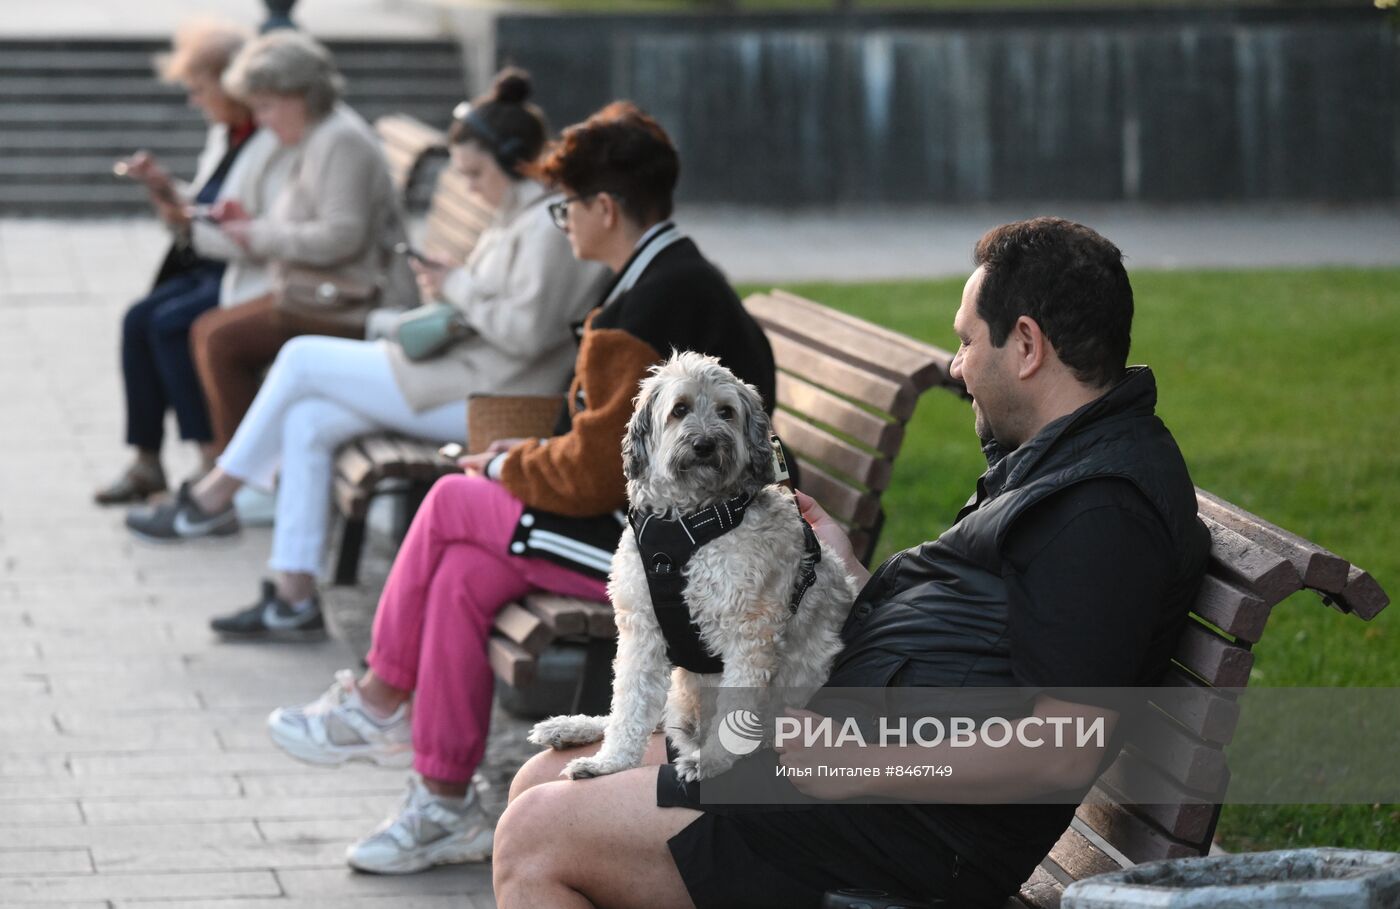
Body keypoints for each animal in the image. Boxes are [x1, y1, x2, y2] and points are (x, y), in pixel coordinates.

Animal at [529, 348, 856, 778]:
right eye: (680, 409)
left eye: (726, 412)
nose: (705, 444)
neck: (687, 522)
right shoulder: (641, 630)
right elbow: (629, 707)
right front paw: (611, 762)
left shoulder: (750, 635)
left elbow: (735, 711)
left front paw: (711, 761)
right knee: (645, 718)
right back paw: (572, 728)